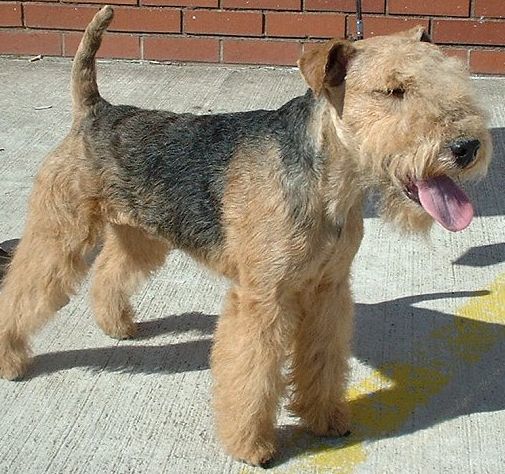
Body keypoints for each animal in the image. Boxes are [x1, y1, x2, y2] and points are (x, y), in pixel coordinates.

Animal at [0, 5, 490, 466]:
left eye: (450, 78)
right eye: (392, 91)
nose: (466, 147)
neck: (328, 184)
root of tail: (94, 110)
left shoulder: (329, 290)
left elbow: (323, 360)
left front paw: (325, 418)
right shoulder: (262, 298)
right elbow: (252, 376)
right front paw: (251, 446)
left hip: (141, 235)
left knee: (109, 272)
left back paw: (117, 325)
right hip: (58, 234)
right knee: (22, 291)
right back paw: (10, 360)